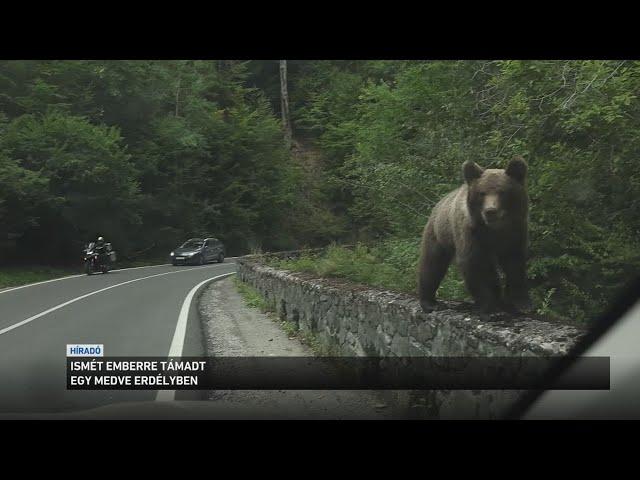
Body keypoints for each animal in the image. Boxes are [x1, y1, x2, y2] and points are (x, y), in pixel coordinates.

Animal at [416, 156, 528, 316]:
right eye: (482, 193)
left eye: (502, 192)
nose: (490, 211)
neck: (494, 229)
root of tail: (439, 203)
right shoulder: (471, 233)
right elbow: (473, 264)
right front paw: (487, 307)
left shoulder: (515, 232)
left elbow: (515, 264)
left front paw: (521, 303)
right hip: (439, 234)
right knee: (432, 264)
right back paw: (429, 302)